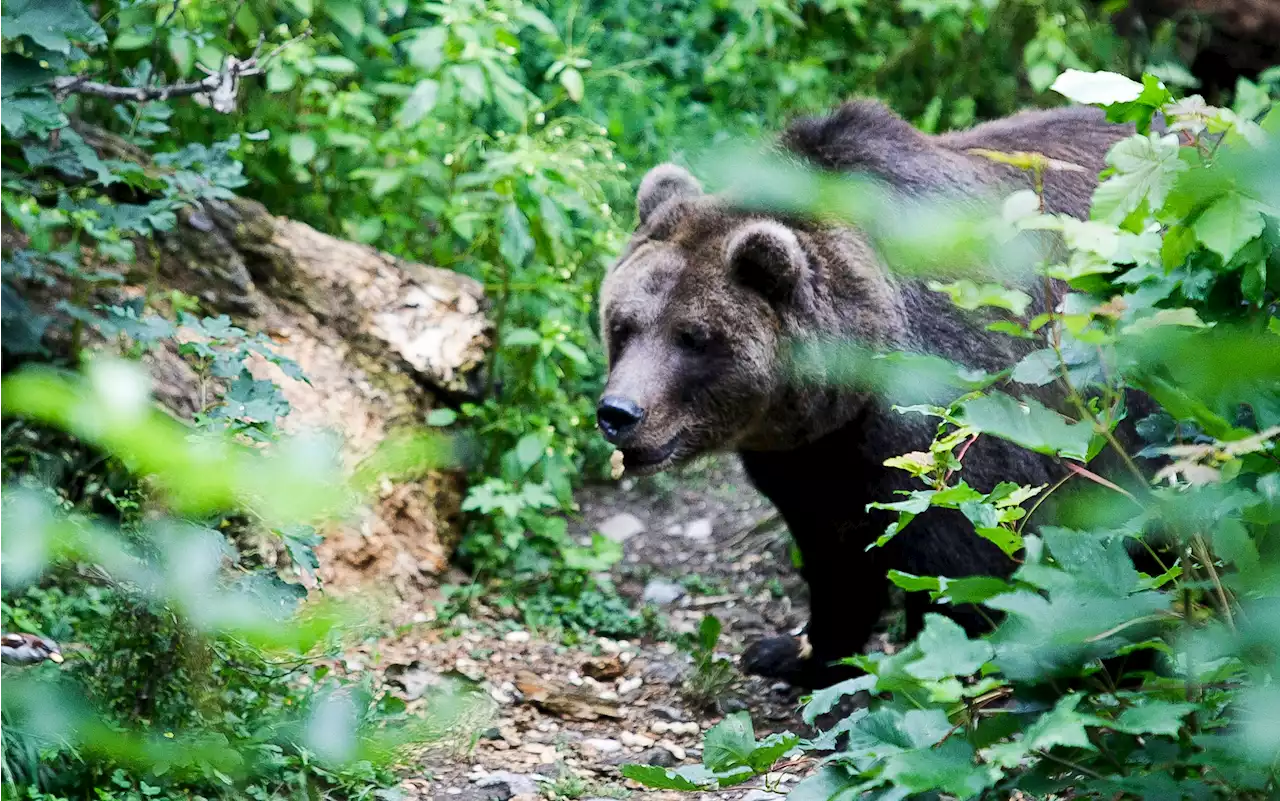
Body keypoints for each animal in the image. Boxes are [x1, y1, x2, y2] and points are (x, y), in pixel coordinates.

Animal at [593, 99, 1146, 685]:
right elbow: (834, 560)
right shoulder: (814, 456)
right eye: (623, 325)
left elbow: (960, 567)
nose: (619, 412)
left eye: (692, 338)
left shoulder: (957, 417)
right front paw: (794, 653)